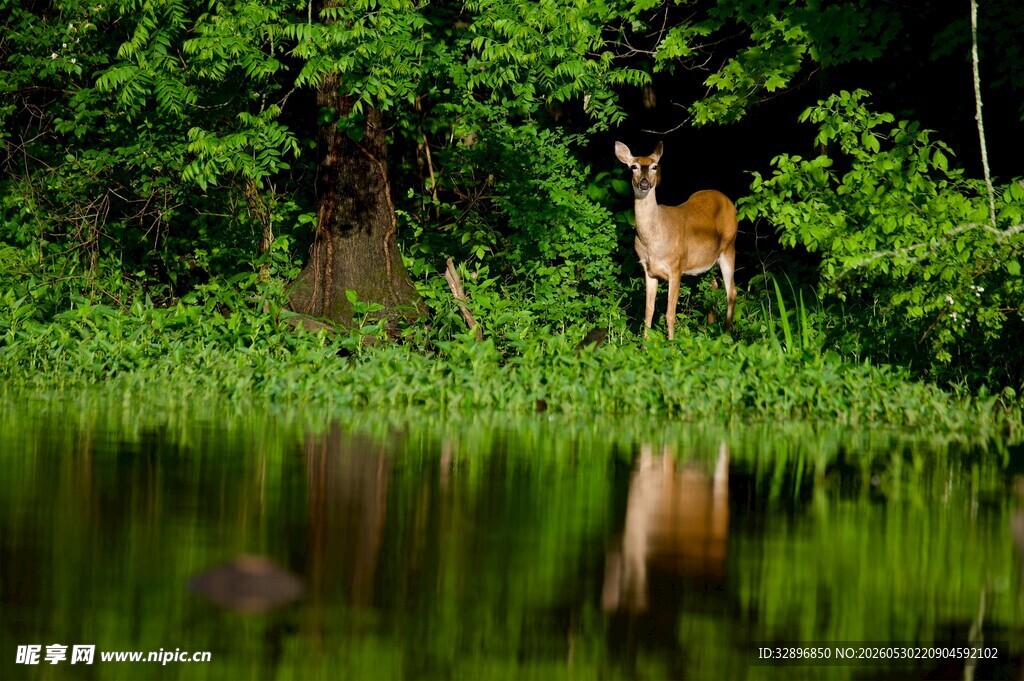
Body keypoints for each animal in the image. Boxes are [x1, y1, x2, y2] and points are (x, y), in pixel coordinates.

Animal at [614, 141, 738, 339]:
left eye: (654, 166)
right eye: (633, 167)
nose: (644, 183)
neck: (653, 239)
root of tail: (728, 201)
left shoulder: (676, 267)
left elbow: (670, 312)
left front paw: (671, 342)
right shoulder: (648, 269)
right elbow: (648, 310)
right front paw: (645, 342)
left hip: (729, 247)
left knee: (731, 291)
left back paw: (726, 333)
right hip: (708, 259)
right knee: (714, 285)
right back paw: (710, 328)